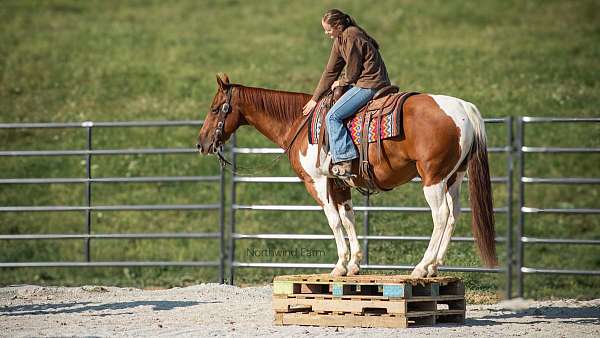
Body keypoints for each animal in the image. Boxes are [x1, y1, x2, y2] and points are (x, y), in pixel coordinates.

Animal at [198, 74, 496, 278]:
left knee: (441, 216)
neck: (299, 122)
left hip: (433, 178)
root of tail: (463, 108)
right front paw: (354, 263)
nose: (201, 144)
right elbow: (348, 218)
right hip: (453, 177)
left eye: (214, 109)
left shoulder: (317, 182)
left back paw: (422, 267)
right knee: (454, 215)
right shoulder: (339, 183)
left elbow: (333, 220)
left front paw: (340, 265)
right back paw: (434, 267)